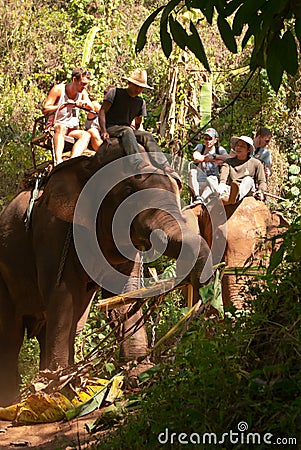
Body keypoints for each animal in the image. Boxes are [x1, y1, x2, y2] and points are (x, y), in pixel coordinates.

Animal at [0, 139, 213, 406]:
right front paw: (58, 393)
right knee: (10, 336)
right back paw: (15, 401)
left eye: (177, 187)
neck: (87, 164)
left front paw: (138, 374)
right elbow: (62, 297)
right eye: (128, 188)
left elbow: (124, 294)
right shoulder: (51, 232)